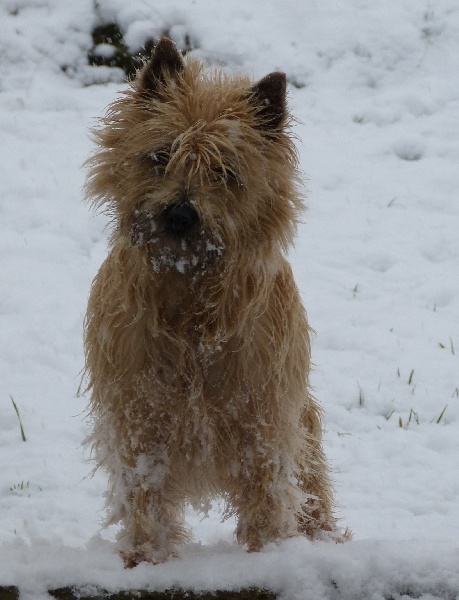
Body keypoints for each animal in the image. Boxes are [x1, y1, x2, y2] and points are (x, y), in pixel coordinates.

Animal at [84, 38, 346, 568]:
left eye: (225, 172)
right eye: (160, 155)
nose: (181, 215)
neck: (189, 300)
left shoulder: (262, 417)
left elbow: (267, 490)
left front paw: (269, 555)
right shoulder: (138, 417)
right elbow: (145, 492)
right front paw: (145, 559)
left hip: (300, 424)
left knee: (309, 483)